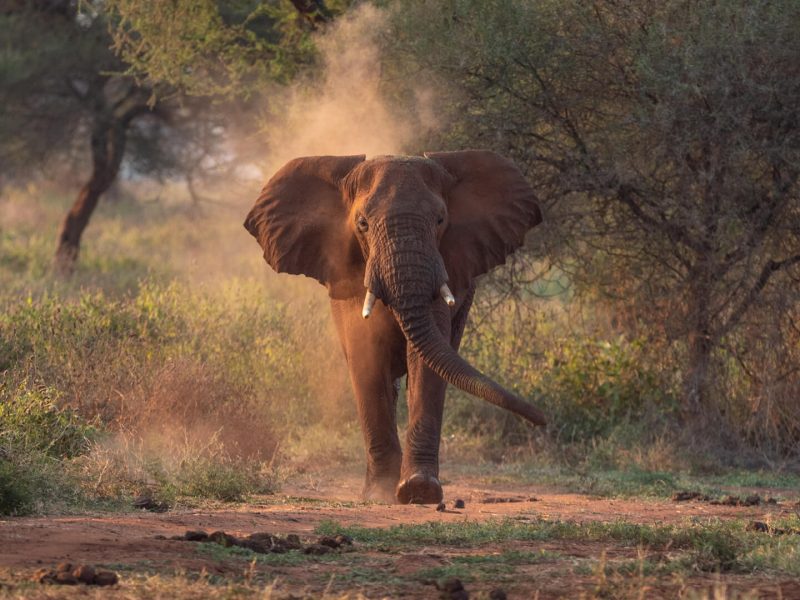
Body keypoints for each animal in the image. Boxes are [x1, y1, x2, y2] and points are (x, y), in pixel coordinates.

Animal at [244, 150, 546, 504]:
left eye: (440, 220)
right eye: (362, 224)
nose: (543, 419)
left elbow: (426, 364)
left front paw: (419, 490)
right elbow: (367, 357)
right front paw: (380, 493)